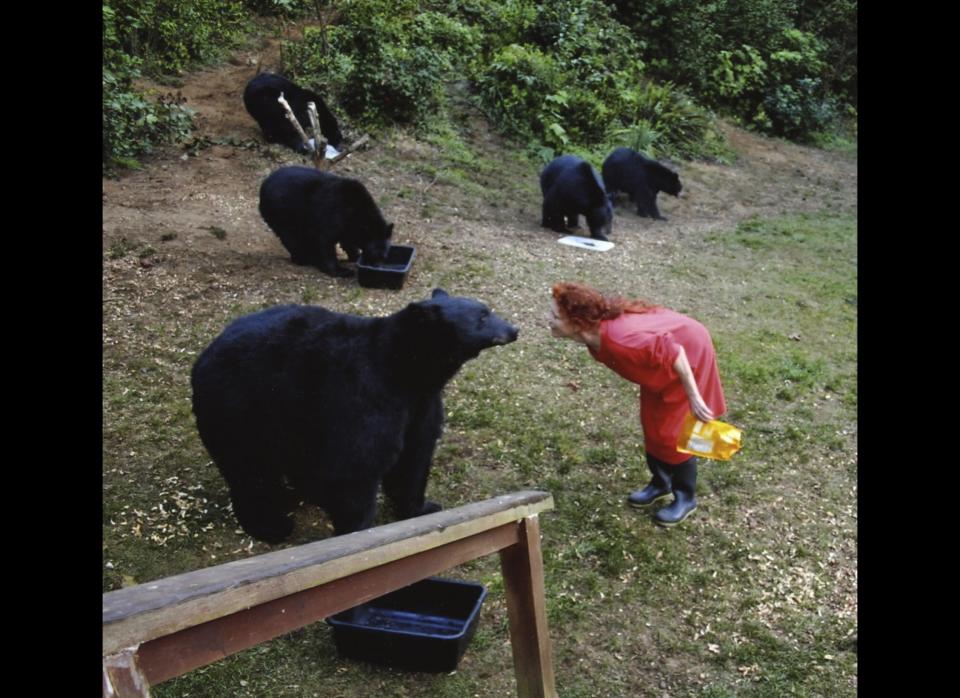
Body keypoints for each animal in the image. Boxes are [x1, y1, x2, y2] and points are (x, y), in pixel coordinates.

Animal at [191, 288, 520, 544]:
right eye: (482, 316)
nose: (514, 329)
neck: (407, 372)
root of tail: (204, 355)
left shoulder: (421, 405)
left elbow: (415, 456)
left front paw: (423, 507)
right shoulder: (364, 395)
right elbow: (357, 465)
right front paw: (358, 532)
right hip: (241, 406)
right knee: (249, 469)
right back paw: (271, 525)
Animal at [258, 166, 394, 278]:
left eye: (385, 256)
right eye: (374, 254)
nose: (378, 268)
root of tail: (264, 184)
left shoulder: (347, 225)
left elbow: (348, 240)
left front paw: (354, 256)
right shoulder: (331, 216)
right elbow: (325, 242)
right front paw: (341, 271)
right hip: (282, 212)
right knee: (291, 237)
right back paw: (304, 258)